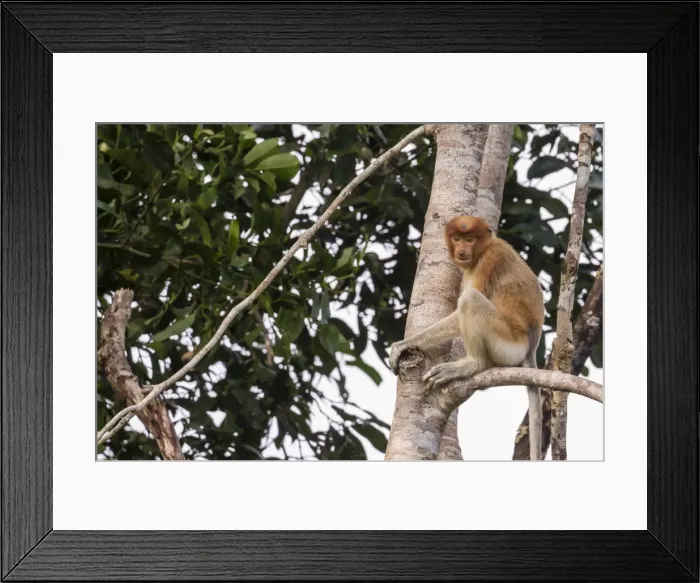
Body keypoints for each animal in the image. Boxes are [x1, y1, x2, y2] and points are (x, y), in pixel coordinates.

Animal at [389, 215, 545, 461]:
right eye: (457, 238)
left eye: (470, 239)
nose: (462, 251)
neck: (484, 249)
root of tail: (530, 346)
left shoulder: (489, 261)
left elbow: (462, 309)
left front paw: (404, 344)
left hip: (508, 345)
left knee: (471, 300)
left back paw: (472, 365)